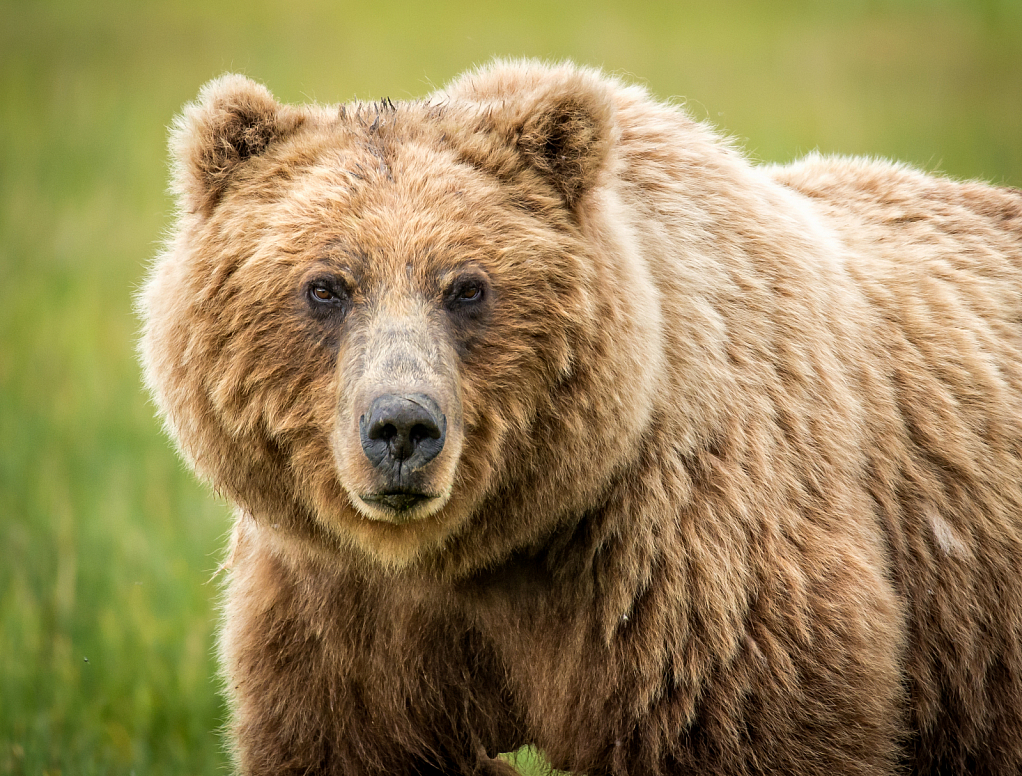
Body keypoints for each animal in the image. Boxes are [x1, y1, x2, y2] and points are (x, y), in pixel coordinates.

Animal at [140, 62, 1021, 776]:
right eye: (326, 286)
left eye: (468, 286)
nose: (401, 429)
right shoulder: (339, 615)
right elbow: (346, 737)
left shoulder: (684, 572)